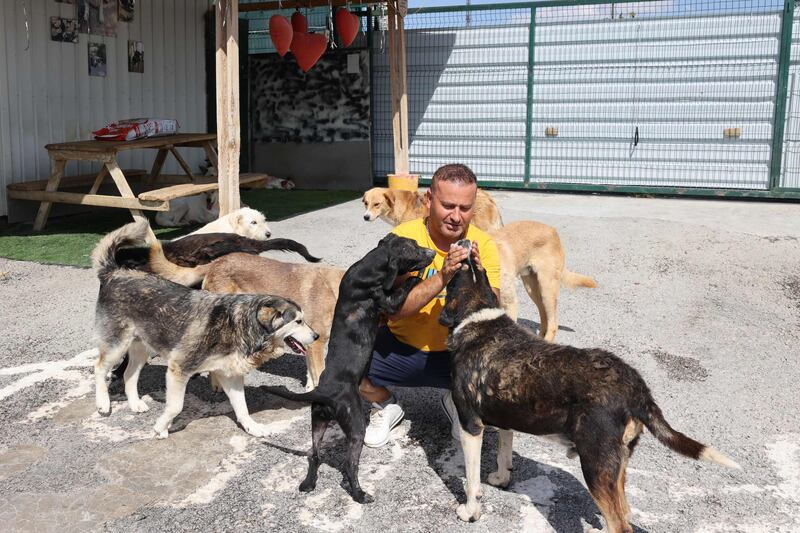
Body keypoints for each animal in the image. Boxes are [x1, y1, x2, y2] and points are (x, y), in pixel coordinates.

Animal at [92, 220, 318, 436]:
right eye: (298, 321)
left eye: (304, 319)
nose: (316, 336)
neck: (236, 325)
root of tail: (114, 272)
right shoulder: (178, 369)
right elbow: (175, 406)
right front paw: (161, 427)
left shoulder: (230, 376)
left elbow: (242, 407)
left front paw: (252, 427)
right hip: (117, 345)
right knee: (100, 367)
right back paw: (103, 403)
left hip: (141, 348)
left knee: (129, 374)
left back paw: (135, 404)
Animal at [260, 234, 438, 502]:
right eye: (413, 249)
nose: (432, 253)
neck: (369, 266)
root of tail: (324, 392)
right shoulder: (388, 301)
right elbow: (404, 286)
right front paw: (417, 277)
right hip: (355, 426)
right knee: (349, 464)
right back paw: (359, 493)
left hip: (318, 421)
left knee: (314, 454)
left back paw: (308, 483)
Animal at [438, 252, 736, 528]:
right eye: (478, 269)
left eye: (456, 274)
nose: (466, 245)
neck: (478, 314)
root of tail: (635, 386)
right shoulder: (505, 417)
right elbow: (504, 453)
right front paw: (501, 479)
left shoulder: (470, 426)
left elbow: (472, 481)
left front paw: (470, 512)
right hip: (617, 465)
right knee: (624, 512)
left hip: (595, 465)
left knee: (620, 524)